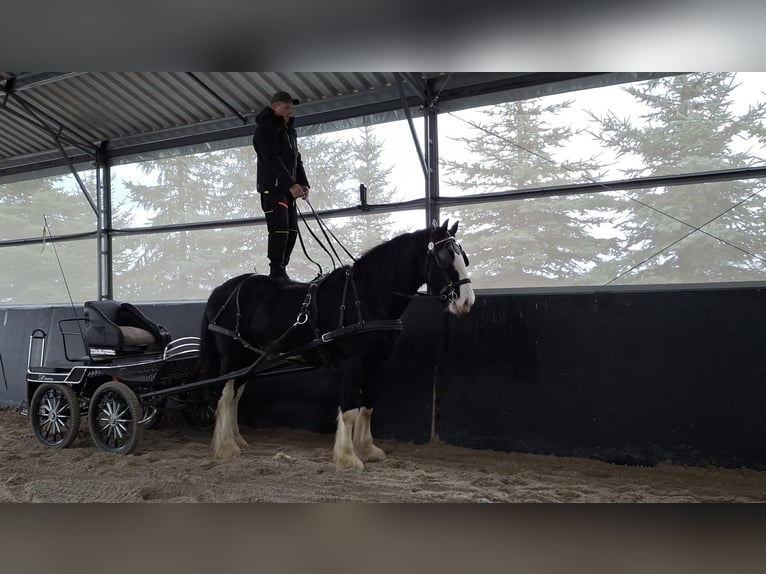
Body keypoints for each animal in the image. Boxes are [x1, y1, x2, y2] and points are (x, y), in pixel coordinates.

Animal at [198, 219, 474, 468]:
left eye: (464, 257)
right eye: (446, 258)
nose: (467, 301)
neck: (367, 295)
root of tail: (219, 291)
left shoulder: (375, 363)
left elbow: (367, 407)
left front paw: (367, 450)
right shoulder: (353, 363)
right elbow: (349, 410)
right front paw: (347, 458)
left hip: (248, 358)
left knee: (235, 396)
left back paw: (237, 440)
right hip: (232, 356)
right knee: (224, 396)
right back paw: (226, 447)